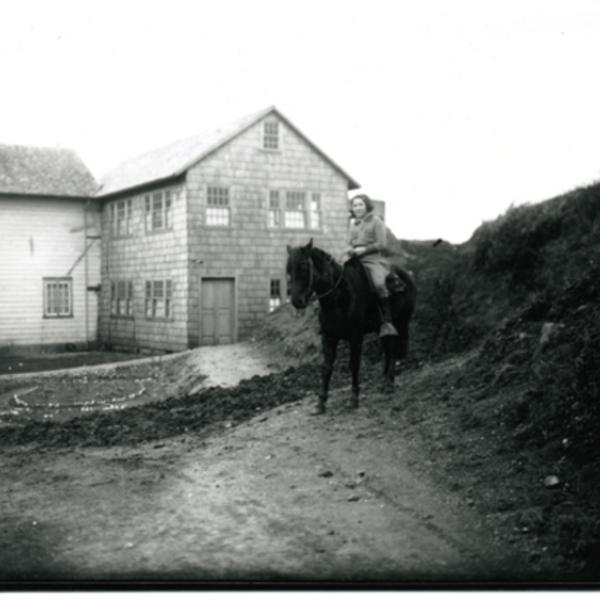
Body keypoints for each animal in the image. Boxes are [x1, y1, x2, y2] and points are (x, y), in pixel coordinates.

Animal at [286, 239, 418, 412]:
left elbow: (354, 365)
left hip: (400, 323)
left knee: (393, 349)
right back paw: (383, 382)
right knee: (387, 349)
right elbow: (326, 367)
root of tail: (405, 276)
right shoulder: (328, 337)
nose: (297, 301)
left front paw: (353, 398)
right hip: (383, 328)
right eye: (288, 268)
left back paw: (389, 383)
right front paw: (321, 402)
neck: (339, 296)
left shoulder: (355, 338)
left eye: (303, 265)